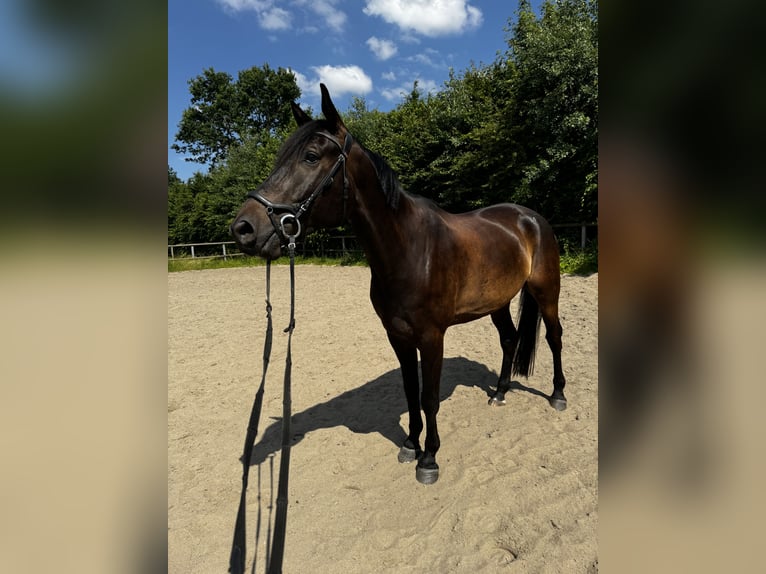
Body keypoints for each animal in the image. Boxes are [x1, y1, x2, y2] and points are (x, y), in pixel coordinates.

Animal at [230, 84, 566, 484]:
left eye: (310, 157)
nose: (244, 228)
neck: (409, 249)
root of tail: (530, 219)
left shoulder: (432, 337)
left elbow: (429, 397)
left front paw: (430, 459)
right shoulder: (397, 334)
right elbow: (410, 391)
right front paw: (410, 445)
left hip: (546, 292)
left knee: (554, 336)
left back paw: (558, 395)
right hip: (497, 302)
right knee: (510, 339)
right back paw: (499, 393)